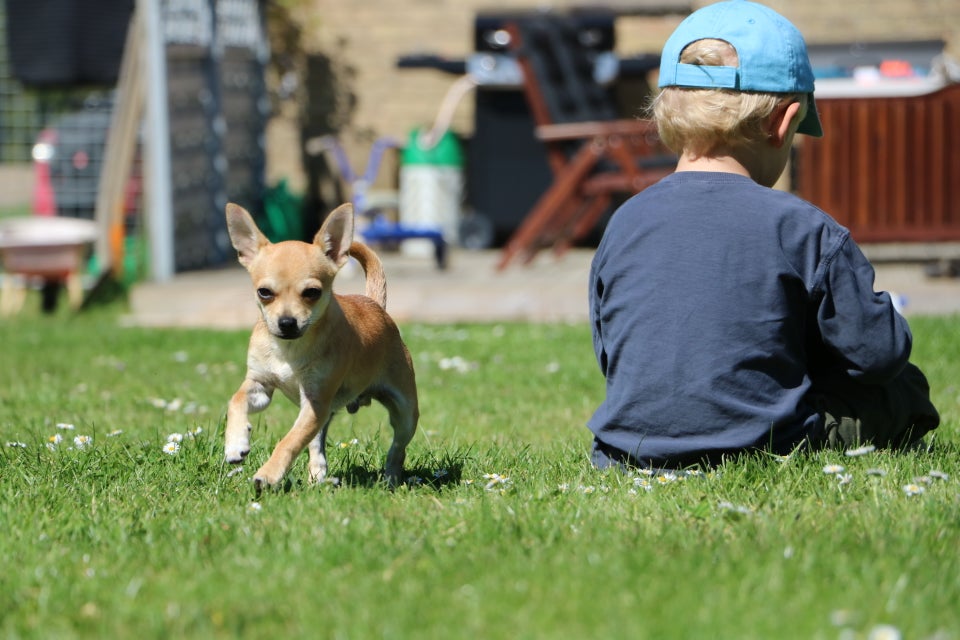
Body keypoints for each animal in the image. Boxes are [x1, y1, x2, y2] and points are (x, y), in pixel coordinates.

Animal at [227, 202, 422, 492]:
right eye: (264, 292)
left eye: (312, 292)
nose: (287, 322)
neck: (290, 350)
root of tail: (375, 303)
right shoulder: (261, 386)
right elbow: (236, 400)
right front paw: (235, 443)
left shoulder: (315, 402)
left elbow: (290, 441)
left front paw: (269, 474)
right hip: (324, 415)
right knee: (317, 446)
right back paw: (317, 476)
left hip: (406, 412)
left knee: (398, 448)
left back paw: (390, 477)